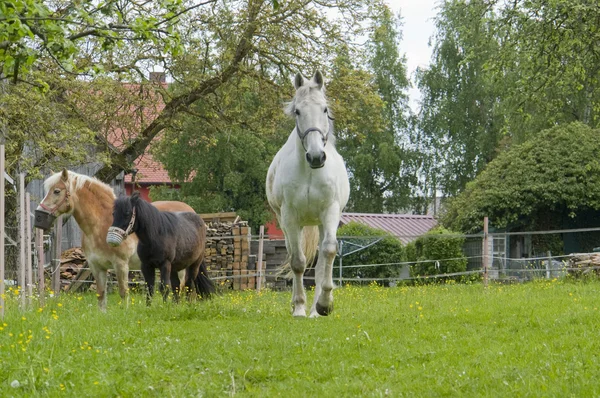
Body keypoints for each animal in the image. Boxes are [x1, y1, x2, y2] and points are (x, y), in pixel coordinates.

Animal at [34, 169, 192, 310]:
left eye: (56, 191)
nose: (38, 217)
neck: (101, 225)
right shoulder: (96, 266)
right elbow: (101, 295)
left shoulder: (121, 265)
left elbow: (123, 293)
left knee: (180, 287)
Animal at [266, 69, 350, 318]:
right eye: (297, 111)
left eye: (324, 109)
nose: (316, 157)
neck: (310, 172)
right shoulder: (290, 217)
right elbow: (297, 262)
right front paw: (299, 308)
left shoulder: (330, 212)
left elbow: (328, 253)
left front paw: (324, 305)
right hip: (288, 224)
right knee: (295, 254)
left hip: (320, 222)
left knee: (321, 260)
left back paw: (315, 310)